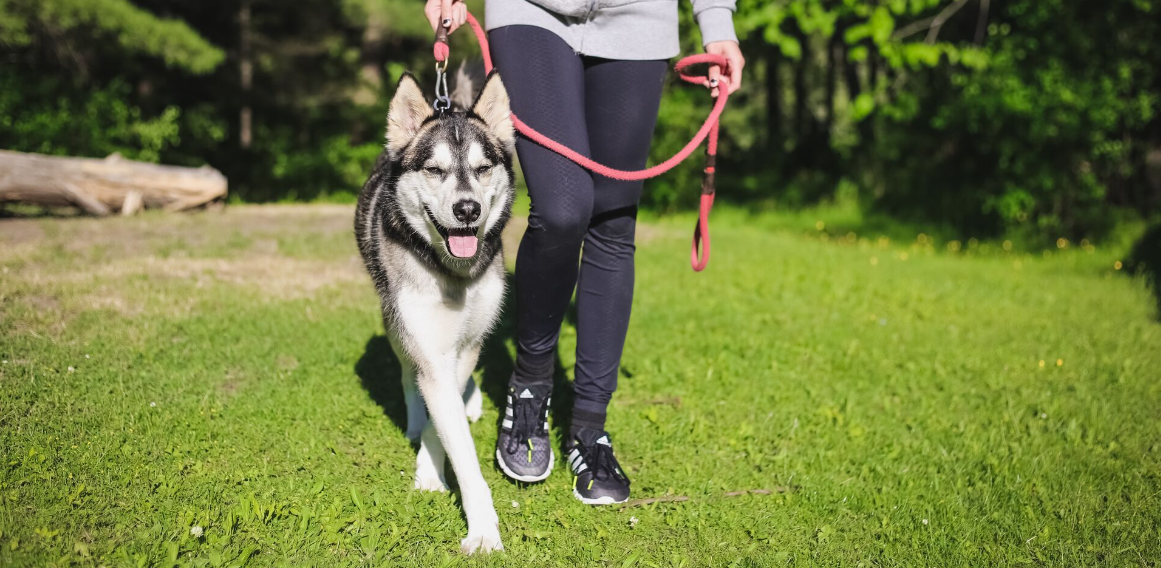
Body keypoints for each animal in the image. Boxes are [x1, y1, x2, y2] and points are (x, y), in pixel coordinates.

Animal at [352, 72, 513, 552]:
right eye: (434, 170)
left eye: (483, 168)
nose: (467, 209)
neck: (454, 274)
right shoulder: (427, 348)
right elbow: (458, 444)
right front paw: (482, 530)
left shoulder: (466, 342)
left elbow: (450, 417)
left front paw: (429, 463)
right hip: (394, 322)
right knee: (407, 376)